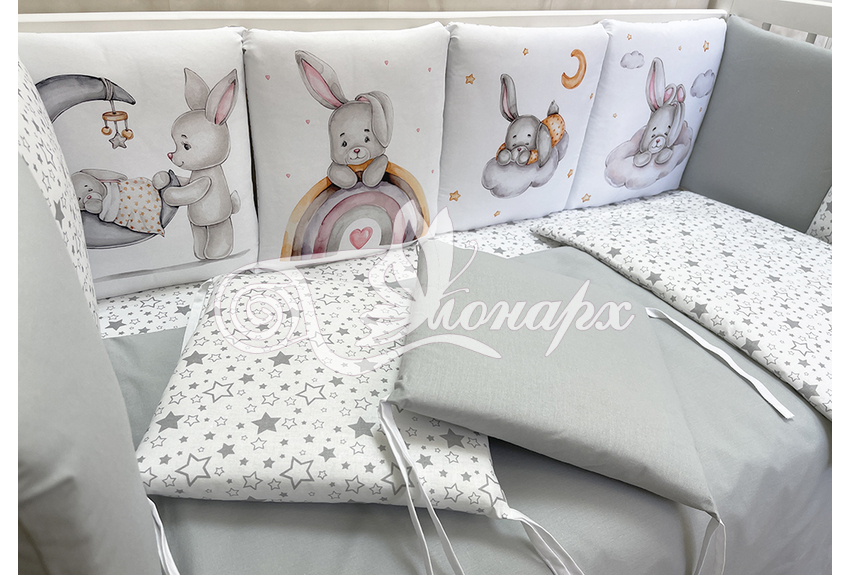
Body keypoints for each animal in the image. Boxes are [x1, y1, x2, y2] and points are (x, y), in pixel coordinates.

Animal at [152, 68, 241, 260]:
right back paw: (200, 254)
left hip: (218, 223)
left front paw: (169, 193)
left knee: (218, 234)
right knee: (200, 235)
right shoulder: (191, 177)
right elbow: (184, 181)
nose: (170, 155)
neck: (203, 169)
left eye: (186, 146)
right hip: (197, 226)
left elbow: (194, 188)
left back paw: (216, 254)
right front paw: (161, 178)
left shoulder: (206, 180)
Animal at [295, 50, 394, 189]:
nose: (356, 150)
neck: (359, 165)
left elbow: (381, 159)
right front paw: (349, 179)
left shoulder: (380, 159)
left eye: (367, 139)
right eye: (344, 144)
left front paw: (370, 178)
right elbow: (335, 170)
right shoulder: (335, 167)